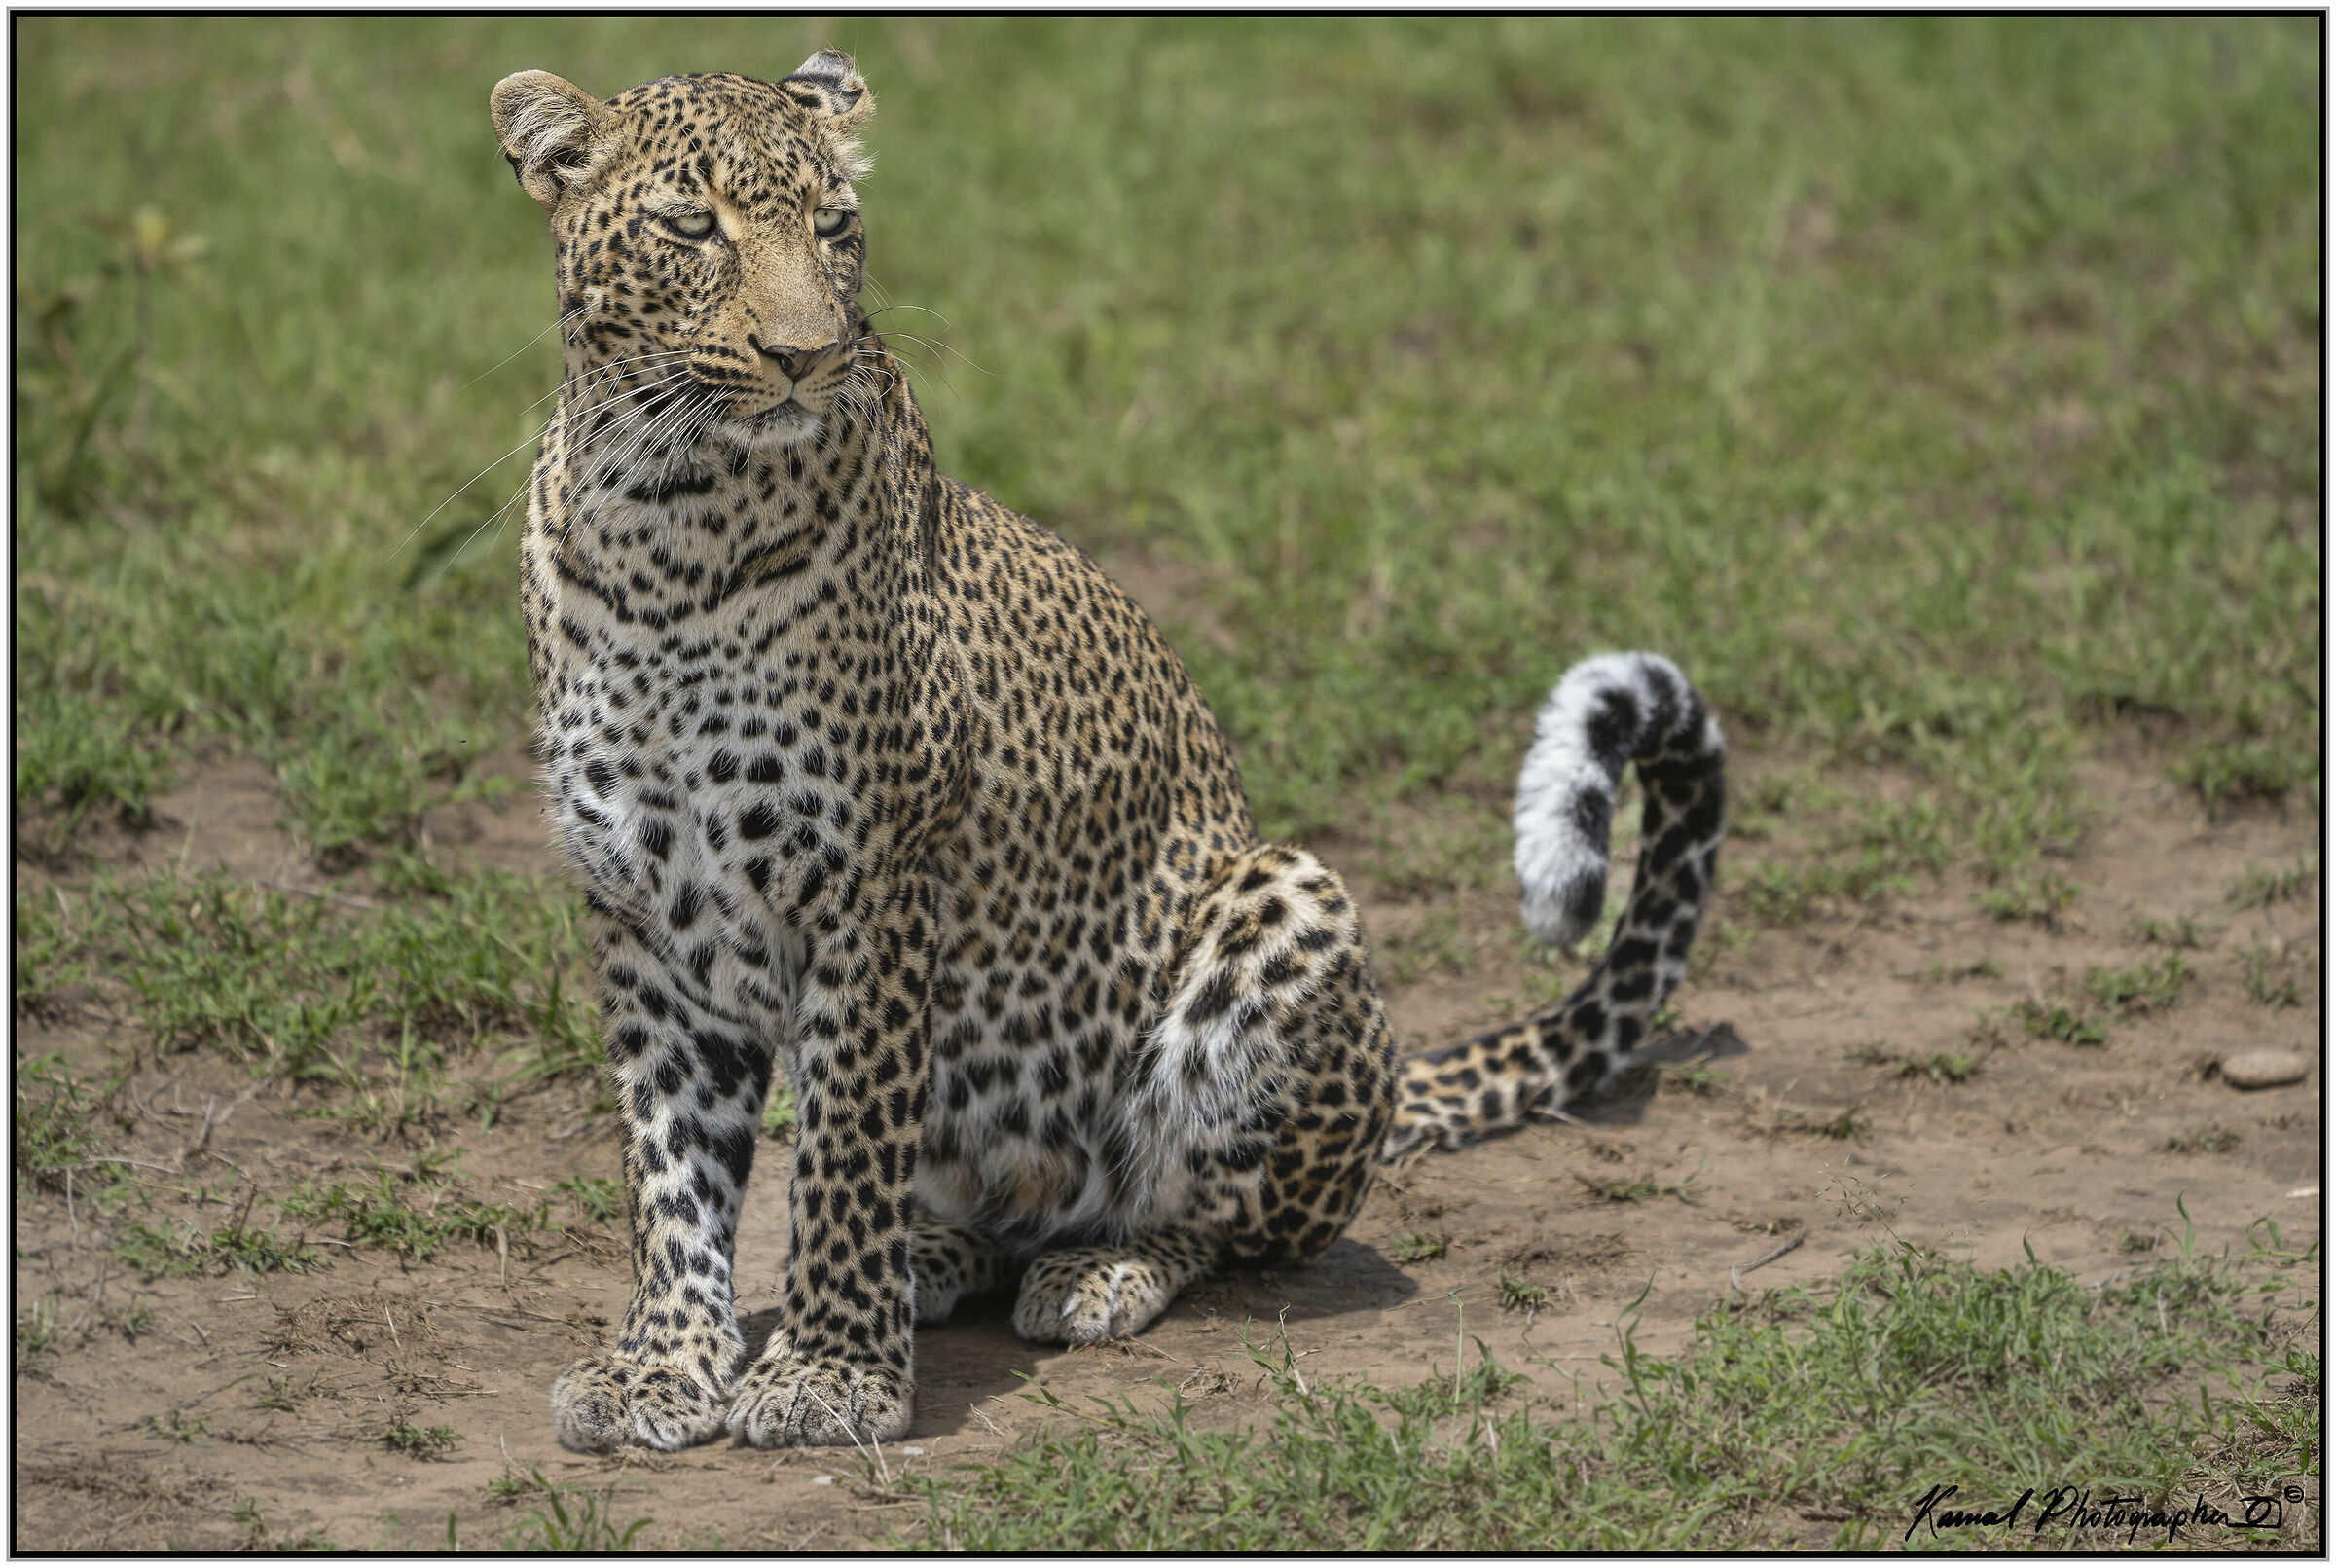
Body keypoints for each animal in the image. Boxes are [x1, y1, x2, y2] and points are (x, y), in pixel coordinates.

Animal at [488, 52, 1726, 1454]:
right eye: (692, 228)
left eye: (836, 228)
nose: (804, 356)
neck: (666, 520)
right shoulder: (643, 909)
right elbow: (669, 1168)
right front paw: (660, 1363)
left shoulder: (871, 887)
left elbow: (846, 1144)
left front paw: (830, 1372)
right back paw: (938, 1256)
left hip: (1283, 902)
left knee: (1232, 1223)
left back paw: (1098, 1269)